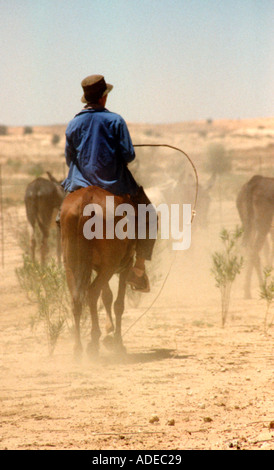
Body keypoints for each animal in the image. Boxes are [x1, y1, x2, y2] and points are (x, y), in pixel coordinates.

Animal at [60, 185, 136, 358]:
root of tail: (87, 198)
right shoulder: (125, 266)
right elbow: (118, 304)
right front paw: (118, 343)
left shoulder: (98, 268)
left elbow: (107, 296)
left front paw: (109, 332)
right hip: (110, 265)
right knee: (92, 292)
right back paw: (93, 342)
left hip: (71, 264)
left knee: (77, 299)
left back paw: (78, 349)